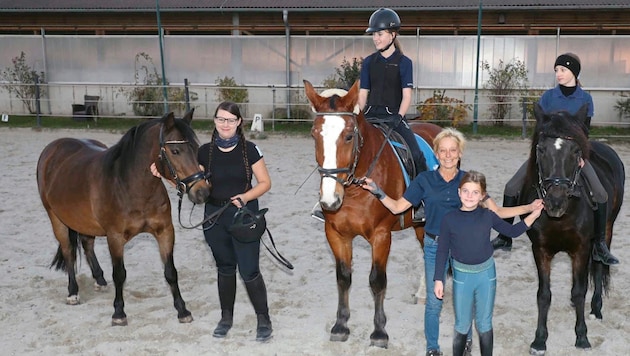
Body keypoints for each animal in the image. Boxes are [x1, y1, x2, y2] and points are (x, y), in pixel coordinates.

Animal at [37, 110, 212, 326]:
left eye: (195, 148)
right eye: (176, 151)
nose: (202, 192)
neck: (131, 185)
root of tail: (54, 147)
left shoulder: (164, 232)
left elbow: (171, 272)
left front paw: (182, 310)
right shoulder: (115, 237)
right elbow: (119, 274)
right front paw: (119, 313)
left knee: (87, 243)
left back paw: (99, 279)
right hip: (56, 219)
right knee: (69, 251)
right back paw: (73, 292)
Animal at [306, 78, 444, 348]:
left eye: (349, 136)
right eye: (314, 135)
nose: (329, 200)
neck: (354, 190)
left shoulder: (381, 236)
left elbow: (377, 281)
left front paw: (379, 331)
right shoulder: (336, 234)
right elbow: (343, 277)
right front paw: (341, 325)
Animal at [520, 104, 624, 354]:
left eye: (576, 151)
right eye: (541, 149)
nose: (555, 202)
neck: (562, 217)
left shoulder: (581, 249)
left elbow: (579, 291)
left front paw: (582, 336)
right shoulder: (541, 250)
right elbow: (543, 295)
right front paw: (539, 340)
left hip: (606, 230)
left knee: (598, 267)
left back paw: (596, 308)